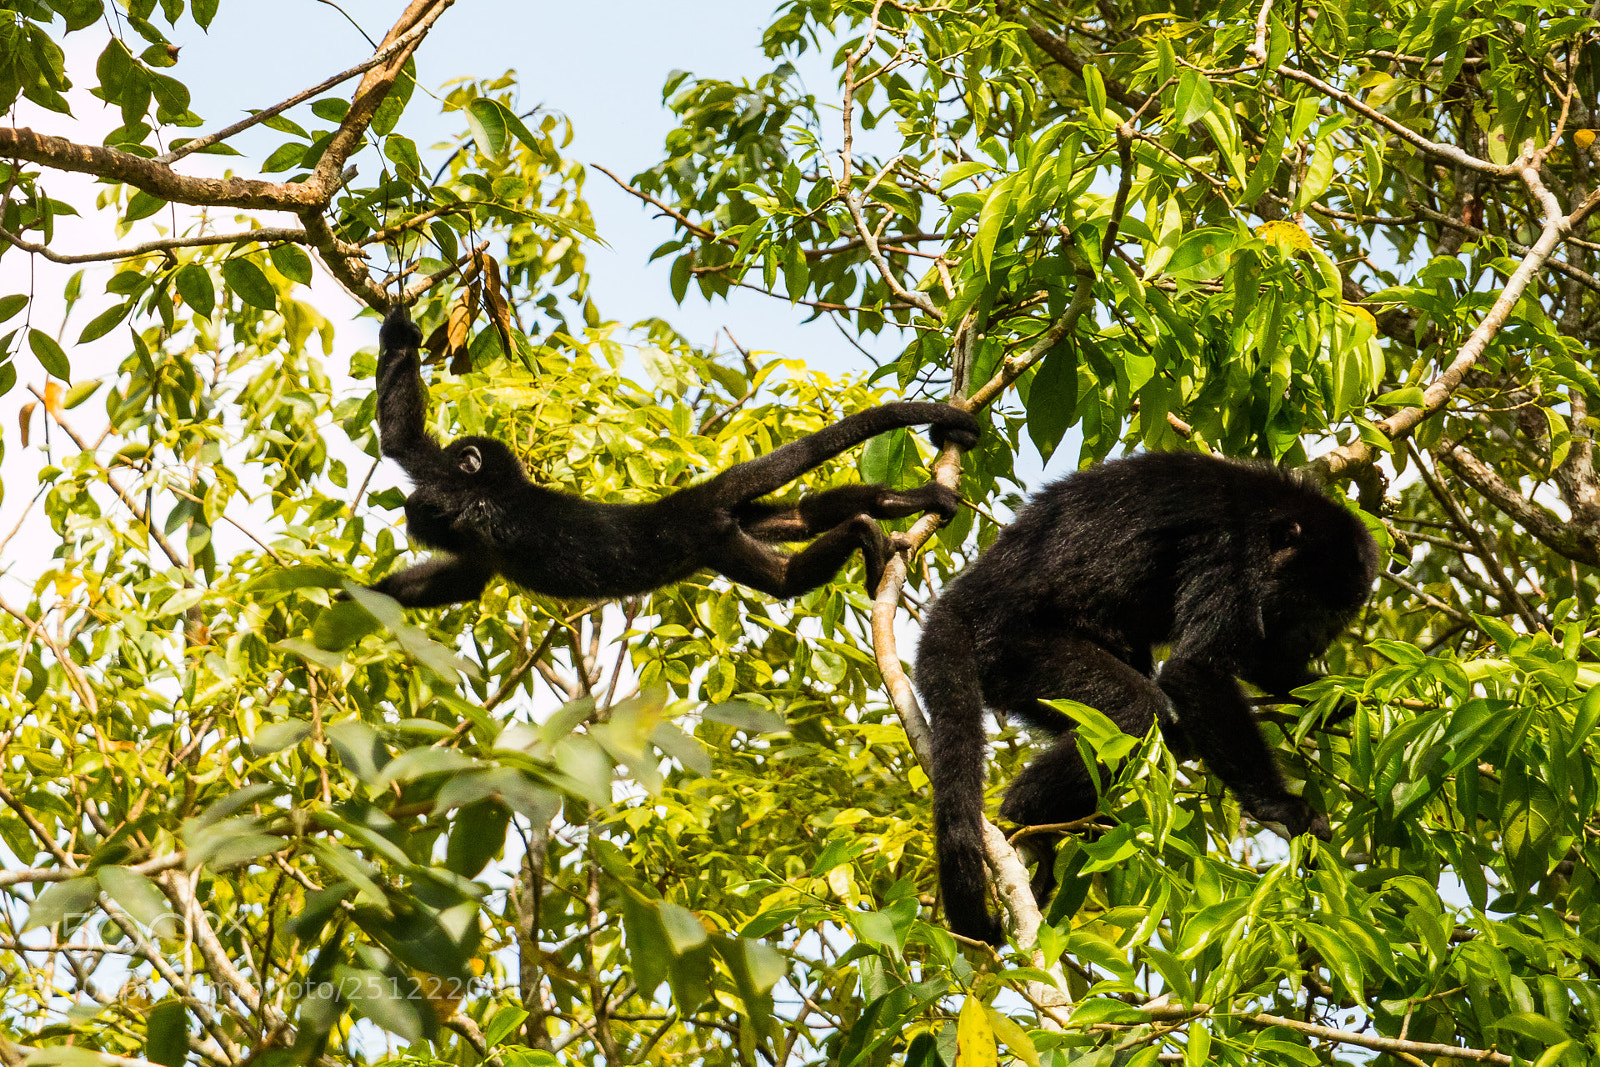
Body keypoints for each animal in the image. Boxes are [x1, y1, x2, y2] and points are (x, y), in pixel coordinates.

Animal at [368, 307, 981, 608]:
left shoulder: (460, 498)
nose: (418, 514)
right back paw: (890, 507)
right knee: (795, 524)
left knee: (786, 571)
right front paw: (358, 598)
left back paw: (867, 526)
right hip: (726, 531)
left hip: (701, 535)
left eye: (462, 455)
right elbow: (464, 576)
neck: (498, 490)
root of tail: (677, 506)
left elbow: (405, 452)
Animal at [914, 451, 1378, 945]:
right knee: (1132, 714)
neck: (1272, 522)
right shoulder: (1230, 554)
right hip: (1012, 649)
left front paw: (1342, 698)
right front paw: (1280, 805)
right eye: (1310, 604)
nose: (1314, 640)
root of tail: (965, 600)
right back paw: (1026, 815)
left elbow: (1261, 660)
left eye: (1336, 616)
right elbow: (1195, 670)